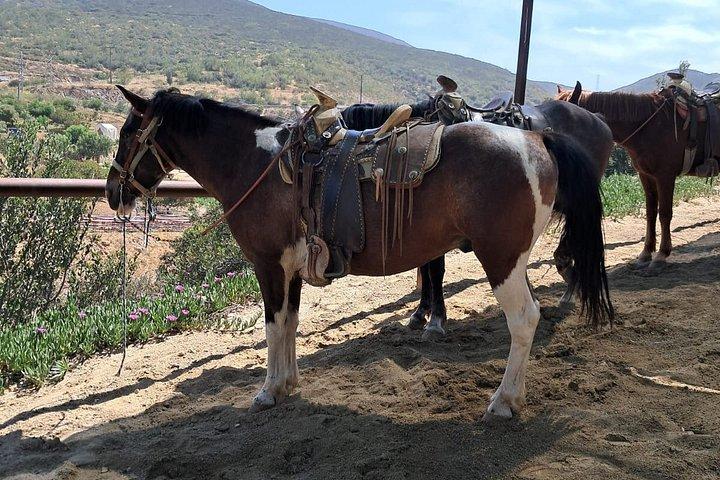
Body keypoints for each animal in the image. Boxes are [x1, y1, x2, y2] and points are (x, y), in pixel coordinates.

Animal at [342, 85, 614, 338]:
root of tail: (599, 119)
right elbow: (425, 267)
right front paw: (421, 313)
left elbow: (434, 270)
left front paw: (436, 319)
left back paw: (567, 283)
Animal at [557, 81, 705, 270]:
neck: (651, 125)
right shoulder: (646, 175)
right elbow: (650, 213)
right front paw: (646, 252)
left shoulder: (665, 175)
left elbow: (665, 213)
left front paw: (662, 254)